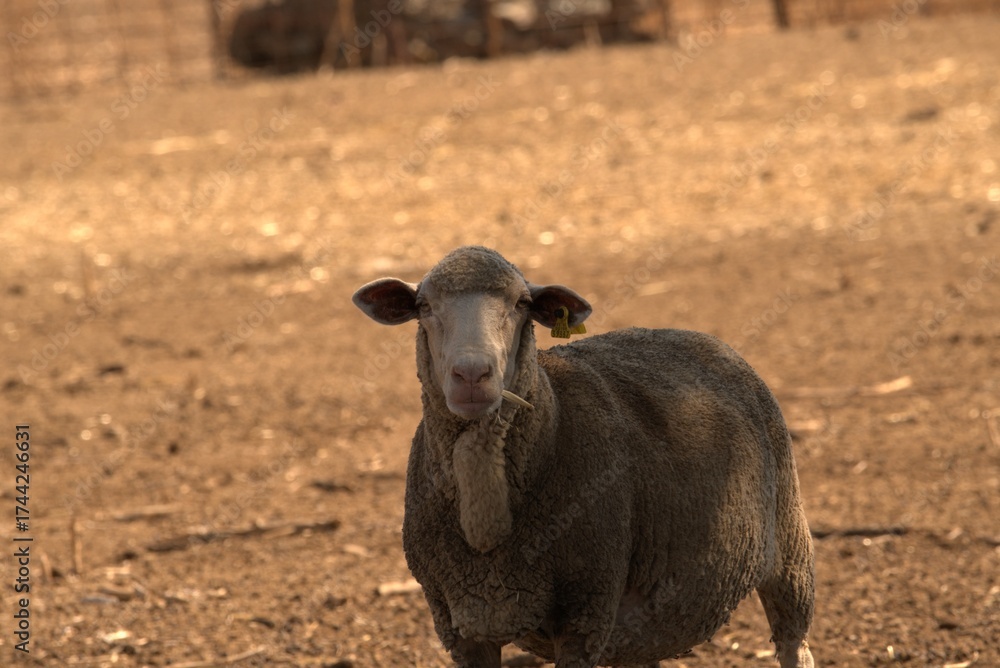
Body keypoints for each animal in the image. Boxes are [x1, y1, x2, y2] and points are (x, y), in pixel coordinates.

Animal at [352, 245, 815, 668]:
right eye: (424, 306)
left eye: (521, 304)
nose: (471, 374)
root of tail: (701, 337)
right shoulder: (458, 620)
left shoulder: (585, 610)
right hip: (644, 622)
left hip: (790, 543)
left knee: (796, 643)